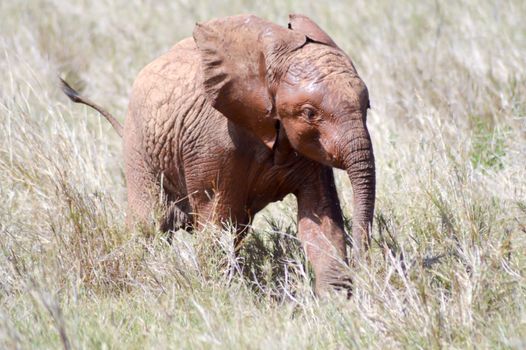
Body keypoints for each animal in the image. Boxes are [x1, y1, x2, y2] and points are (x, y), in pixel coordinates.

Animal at [62, 14, 376, 296]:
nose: (363, 264)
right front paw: (222, 297)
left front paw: (338, 303)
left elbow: (321, 219)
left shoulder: (308, 150)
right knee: (148, 224)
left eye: (367, 106)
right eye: (310, 113)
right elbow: (217, 223)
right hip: (138, 146)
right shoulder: (215, 144)